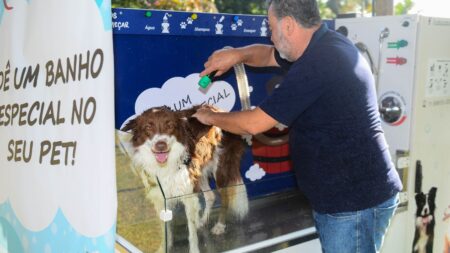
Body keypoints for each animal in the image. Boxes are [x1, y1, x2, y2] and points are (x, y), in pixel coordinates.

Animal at [121, 105, 248, 253]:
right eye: (148, 127)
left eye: (170, 125)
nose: (161, 145)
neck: (165, 165)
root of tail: (219, 110)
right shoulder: (161, 197)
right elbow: (165, 230)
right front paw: (164, 247)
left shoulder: (188, 196)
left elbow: (191, 234)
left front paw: (194, 249)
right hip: (199, 171)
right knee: (210, 196)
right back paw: (202, 221)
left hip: (220, 169)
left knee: (225, 197)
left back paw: (219, 226)